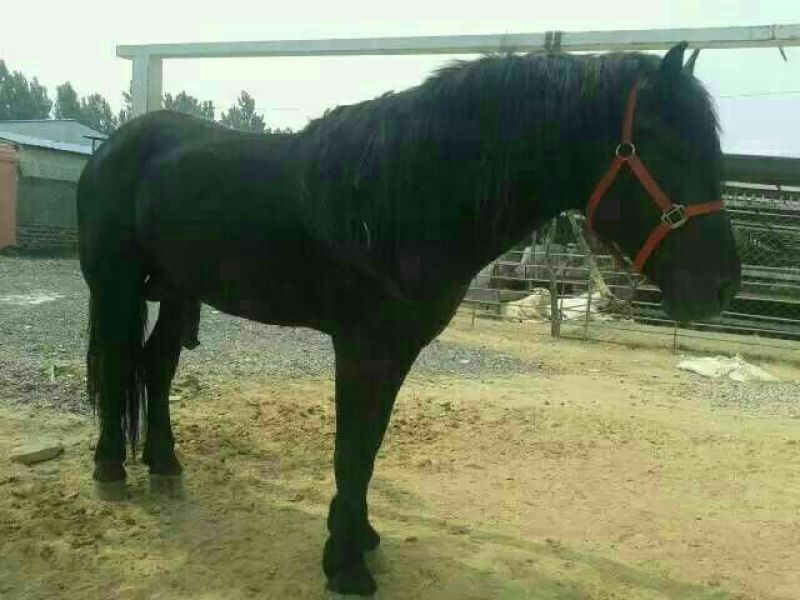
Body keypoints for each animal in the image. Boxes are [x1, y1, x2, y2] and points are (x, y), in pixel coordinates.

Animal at [77, 42, 740, 597]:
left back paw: (165, 465)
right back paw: (111, 468)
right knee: (115, 364)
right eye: (660, 144)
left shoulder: (397, 350)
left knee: (155, 367)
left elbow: (369, 448)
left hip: (177, 291)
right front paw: (345, 567)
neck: (403, 194)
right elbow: (350, 449)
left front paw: (360, 538)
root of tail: (113, 144)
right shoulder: (363, 347)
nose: (722, 286)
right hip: (114, 286)